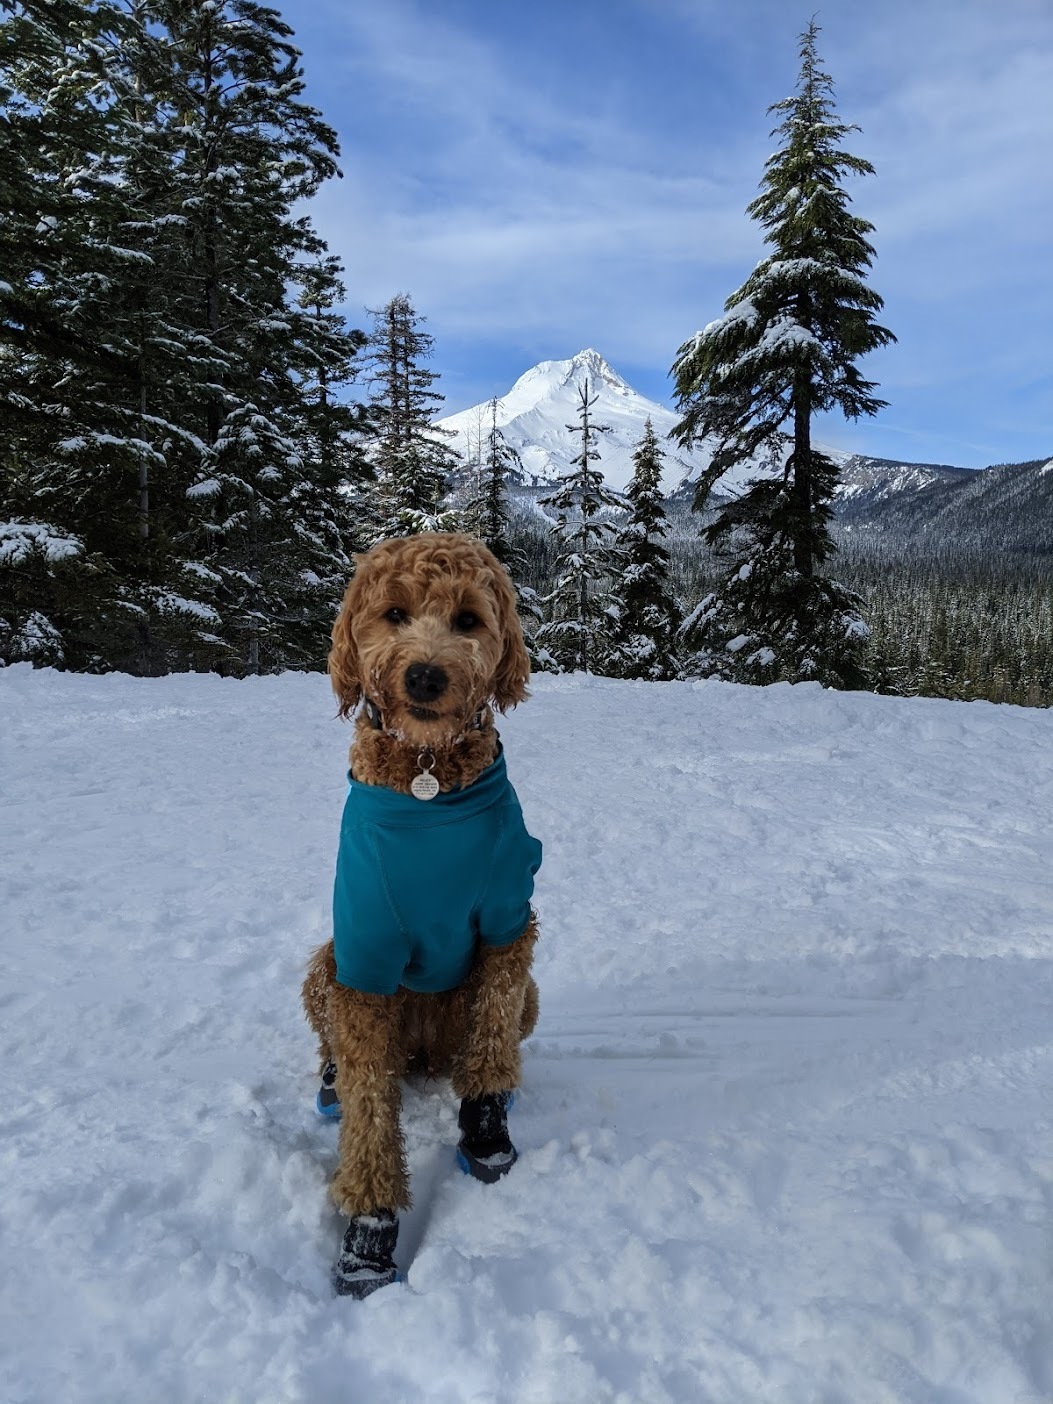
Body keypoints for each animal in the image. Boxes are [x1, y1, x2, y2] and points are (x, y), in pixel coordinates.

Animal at [299, 530, 539, 1297]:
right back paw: (330, 1083)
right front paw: (368, 1235)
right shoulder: (365, 951)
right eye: (395, 613)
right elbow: (371, 1110)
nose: (427, 677)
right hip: (324, 964)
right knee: (341, 1057)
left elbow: (491, 1036)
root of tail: (428, 1055)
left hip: (529, 994)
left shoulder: (509, 923)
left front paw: (485, 1129)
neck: (428, 782)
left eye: (467, 620)